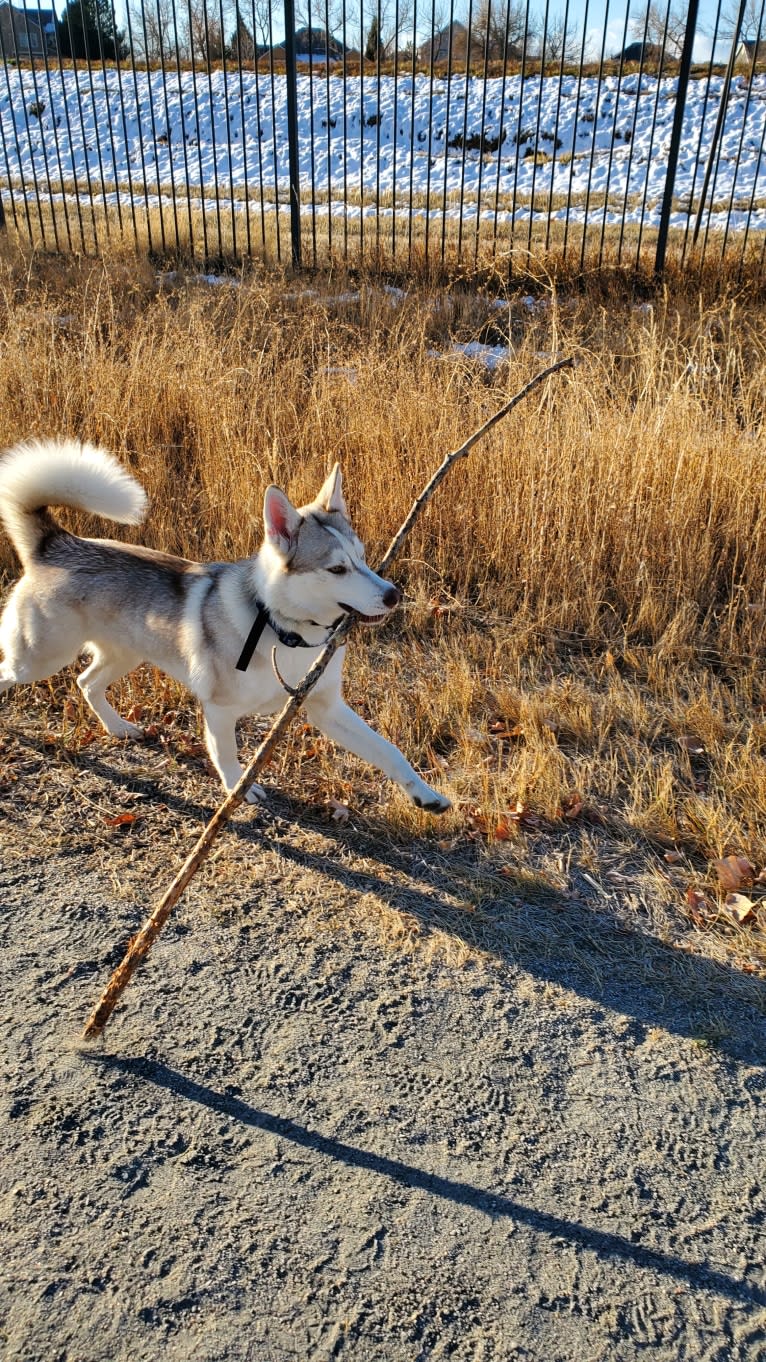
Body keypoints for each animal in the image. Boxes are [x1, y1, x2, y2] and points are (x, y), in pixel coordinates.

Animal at [0, 441, 447, 811]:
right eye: (337, 569)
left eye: (363, 557)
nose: (392, 595)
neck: (285, 633)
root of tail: (56, 544)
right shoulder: (219, 709)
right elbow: (227, 753)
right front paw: (237, 788)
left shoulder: (326, 708)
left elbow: (388, 750)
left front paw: (425, 795)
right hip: (39, 660)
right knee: (21, 674)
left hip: (124, 655)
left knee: (86, 682)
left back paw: (118, 726)